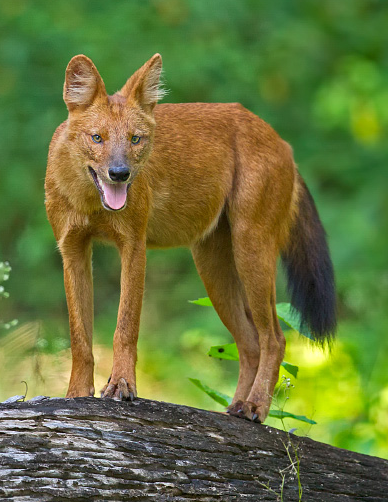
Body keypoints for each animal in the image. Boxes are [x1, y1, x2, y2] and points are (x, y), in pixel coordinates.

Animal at [46, 54, 336, 424]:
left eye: (136, 139)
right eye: (97, 138)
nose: (120, 173)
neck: (89, 202)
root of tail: (281, 140)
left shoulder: (134, 246)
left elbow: (126, 325)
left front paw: (122, 384)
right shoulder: (72, 250)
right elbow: (79, 336)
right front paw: (76, 394)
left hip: (251, 249)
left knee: (275, 338)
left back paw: (255, 406)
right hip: (213, 270)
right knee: (250, 343)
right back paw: (235, 408)